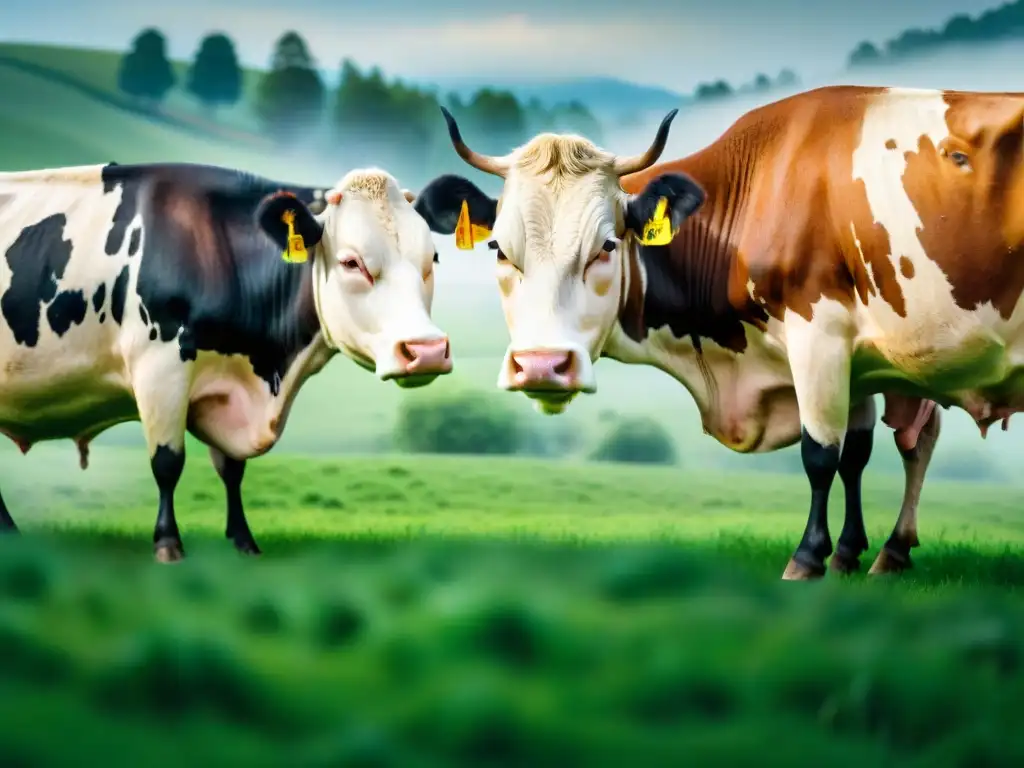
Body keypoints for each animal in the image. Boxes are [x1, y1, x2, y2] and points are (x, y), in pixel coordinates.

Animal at [0, 162, 452, 561]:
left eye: (433, 259)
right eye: (351, 262)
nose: (426, 350)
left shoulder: (228, 388)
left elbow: (232, 469)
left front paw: (244, 541)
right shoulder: (159, 368)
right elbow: (168, 462)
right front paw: (168, 543)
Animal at [407, 87, 1007, 581]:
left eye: (607, 245)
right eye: (498, 248)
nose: (540, 365)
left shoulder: (823, 339)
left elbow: (821, 453)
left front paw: (809, 557)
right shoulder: (858, 360)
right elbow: (856, 453)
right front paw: (846, 553)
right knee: (916, 440)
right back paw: (894, 550)